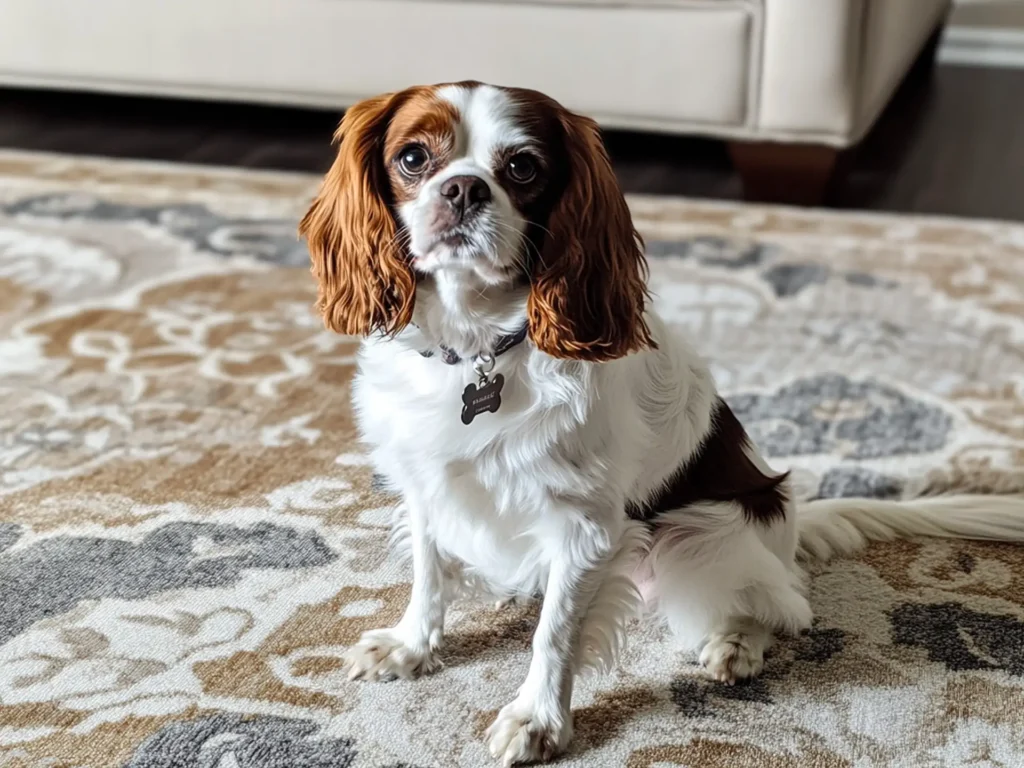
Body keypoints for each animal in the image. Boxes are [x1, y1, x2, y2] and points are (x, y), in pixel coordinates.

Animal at [296, 81, 1024, 765]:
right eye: (413, 158)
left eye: (523, 167)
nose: (463, 189)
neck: (480, 346)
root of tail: (790, 523)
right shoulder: (427, 485)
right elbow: (429, 575)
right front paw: (411, 647)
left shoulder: (586, 528)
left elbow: (555, 634)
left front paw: (539, 720)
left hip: (694, 536)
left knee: (783, 598)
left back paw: (737, 642)